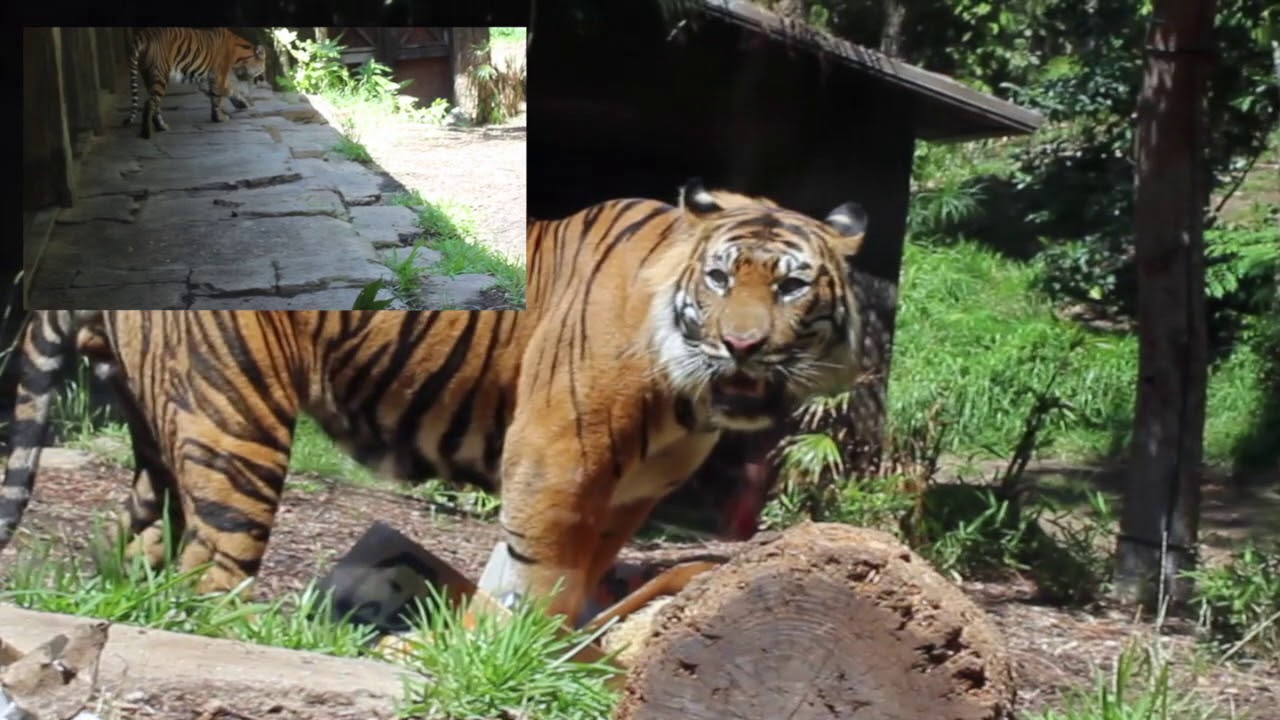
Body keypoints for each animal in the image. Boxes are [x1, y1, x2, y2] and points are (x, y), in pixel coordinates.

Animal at [0, 178, 868, 627]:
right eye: (721, 278)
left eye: (791, 287)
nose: (742, 345)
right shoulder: (557, 458)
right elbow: (537, 571)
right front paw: (508, 655)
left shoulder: (631, 490)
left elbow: (575, 573)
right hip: (234, 426)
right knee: (209, 572)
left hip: (160, 433)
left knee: (139, 538)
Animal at [122, 27, 269, 139]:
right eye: (262, 67)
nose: (262, 79)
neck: (239, 55)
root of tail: (143, 35)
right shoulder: (219, 77)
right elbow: (219, 97)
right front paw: (219, 118)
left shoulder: (207, 79)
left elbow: (228, 91)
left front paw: (242, 103)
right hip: (160, 75)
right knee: (149, 103)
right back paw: (146, 133)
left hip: (149, 76)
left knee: (155, 104)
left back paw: (161, 127)